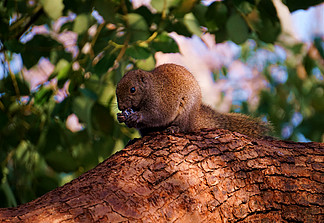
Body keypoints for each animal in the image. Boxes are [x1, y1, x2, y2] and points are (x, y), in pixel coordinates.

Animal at [115, 62, 272, 138]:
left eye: (133, 89)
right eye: (116, 91)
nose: (121, 107)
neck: (149, 89)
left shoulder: (161, 100)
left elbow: (158, 115)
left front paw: (137, 116)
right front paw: (121, 117)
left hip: (187, 112)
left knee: (184, 126)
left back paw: (175, 128)